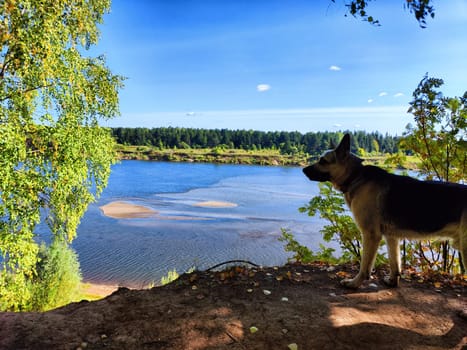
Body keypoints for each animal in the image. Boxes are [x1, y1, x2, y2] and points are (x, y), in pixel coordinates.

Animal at [304, 133, 467, 288]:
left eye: (323, 161)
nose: (303, 170)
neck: (355, 175)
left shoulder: (371, 235)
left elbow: (365, 266)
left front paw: (354, 283)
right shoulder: (392, 237)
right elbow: (395, 264)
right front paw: (393, 282)